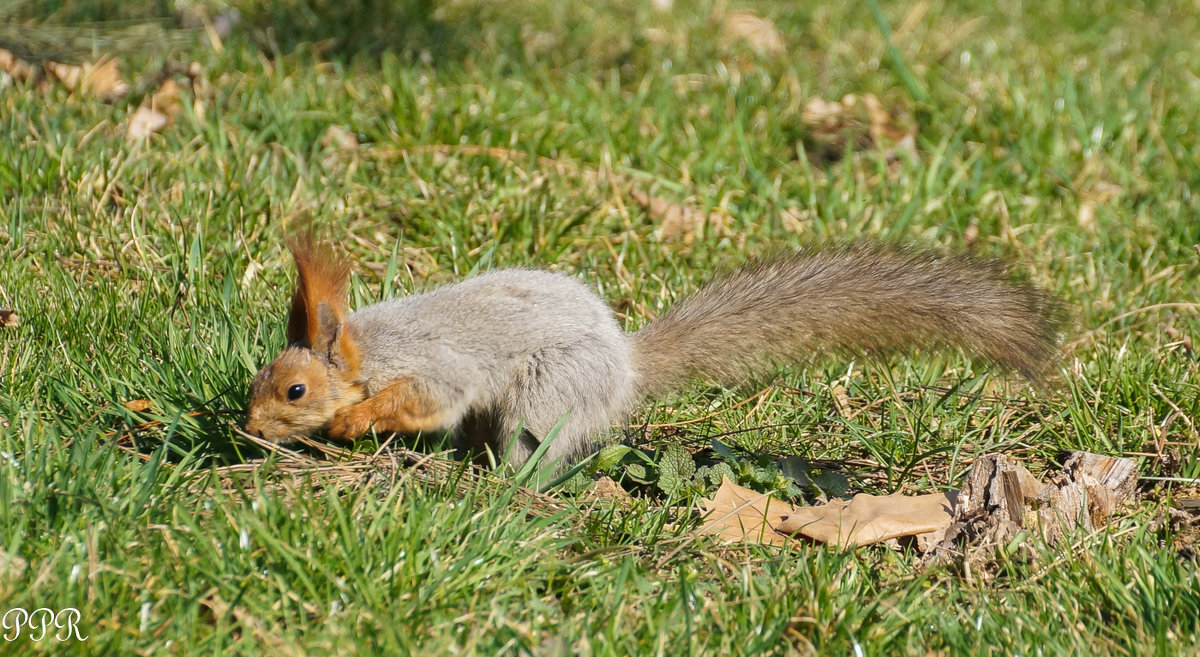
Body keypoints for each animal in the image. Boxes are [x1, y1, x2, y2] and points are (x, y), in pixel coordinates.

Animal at [243, 238, 1060, 469]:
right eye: (259, 379)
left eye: (294, 391)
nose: (247, 430)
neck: (369, 349)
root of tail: (625, 364)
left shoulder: (437, 366)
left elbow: (425, 399)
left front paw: (354, 422)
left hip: (550, 391)